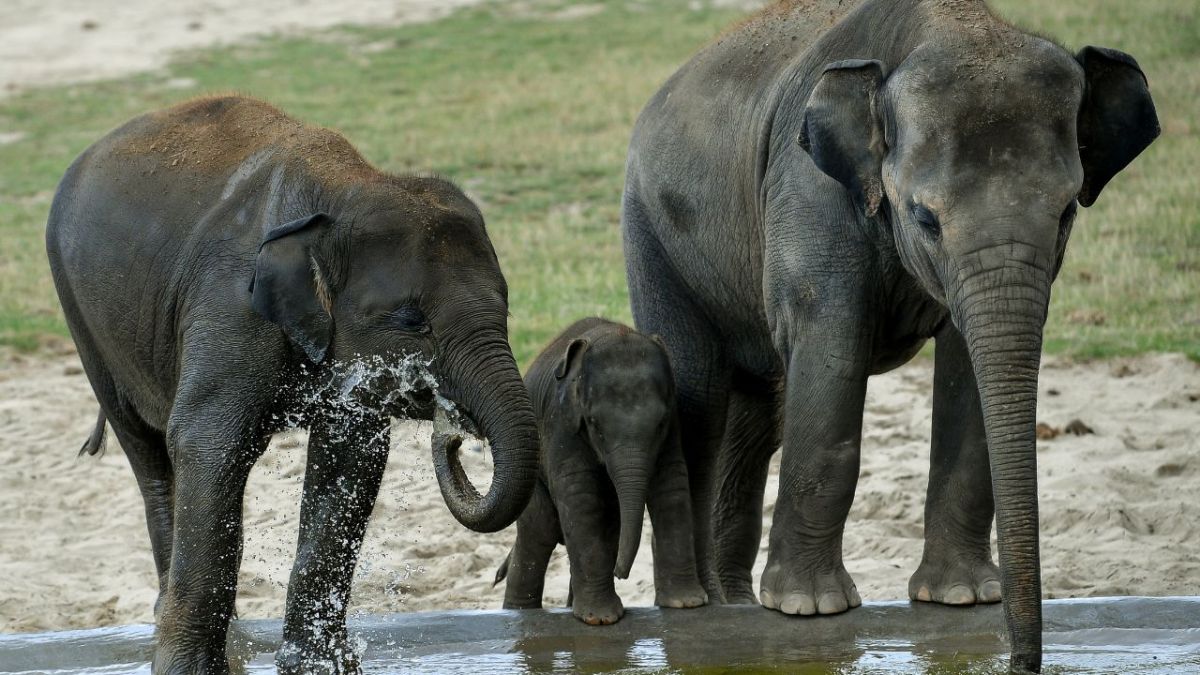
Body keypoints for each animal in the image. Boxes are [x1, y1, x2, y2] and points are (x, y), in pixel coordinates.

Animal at [44, 94, 537, 672]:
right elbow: (208, 446)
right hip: (81, 316)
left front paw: (323, 666)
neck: (343, 189)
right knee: (149, 455)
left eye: (507, 307)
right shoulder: (230, 307)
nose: (453, 431)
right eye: (412, 319)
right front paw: (193, 670)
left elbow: (350, 462)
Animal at [489, 317, 705, 624]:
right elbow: (581, 498)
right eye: (594, 423)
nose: (621, 573)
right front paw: (600, 619)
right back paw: (521, 613)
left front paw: (685, 604)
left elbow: (671, 485)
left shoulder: (673, 425)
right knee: (539, 530)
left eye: (661, 423)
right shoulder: (561, 423)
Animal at [614, 1, 1156, 667]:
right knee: (698, 391)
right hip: (652, 234)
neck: (944, 27)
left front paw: (961, 596)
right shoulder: (809, 191)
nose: (1022, 661)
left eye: (1066, 213)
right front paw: (808, 608)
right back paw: (697, 605)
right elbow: (832, 352)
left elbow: (966, 368)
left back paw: (732, 605)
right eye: (924, 218)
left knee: (755, 416)